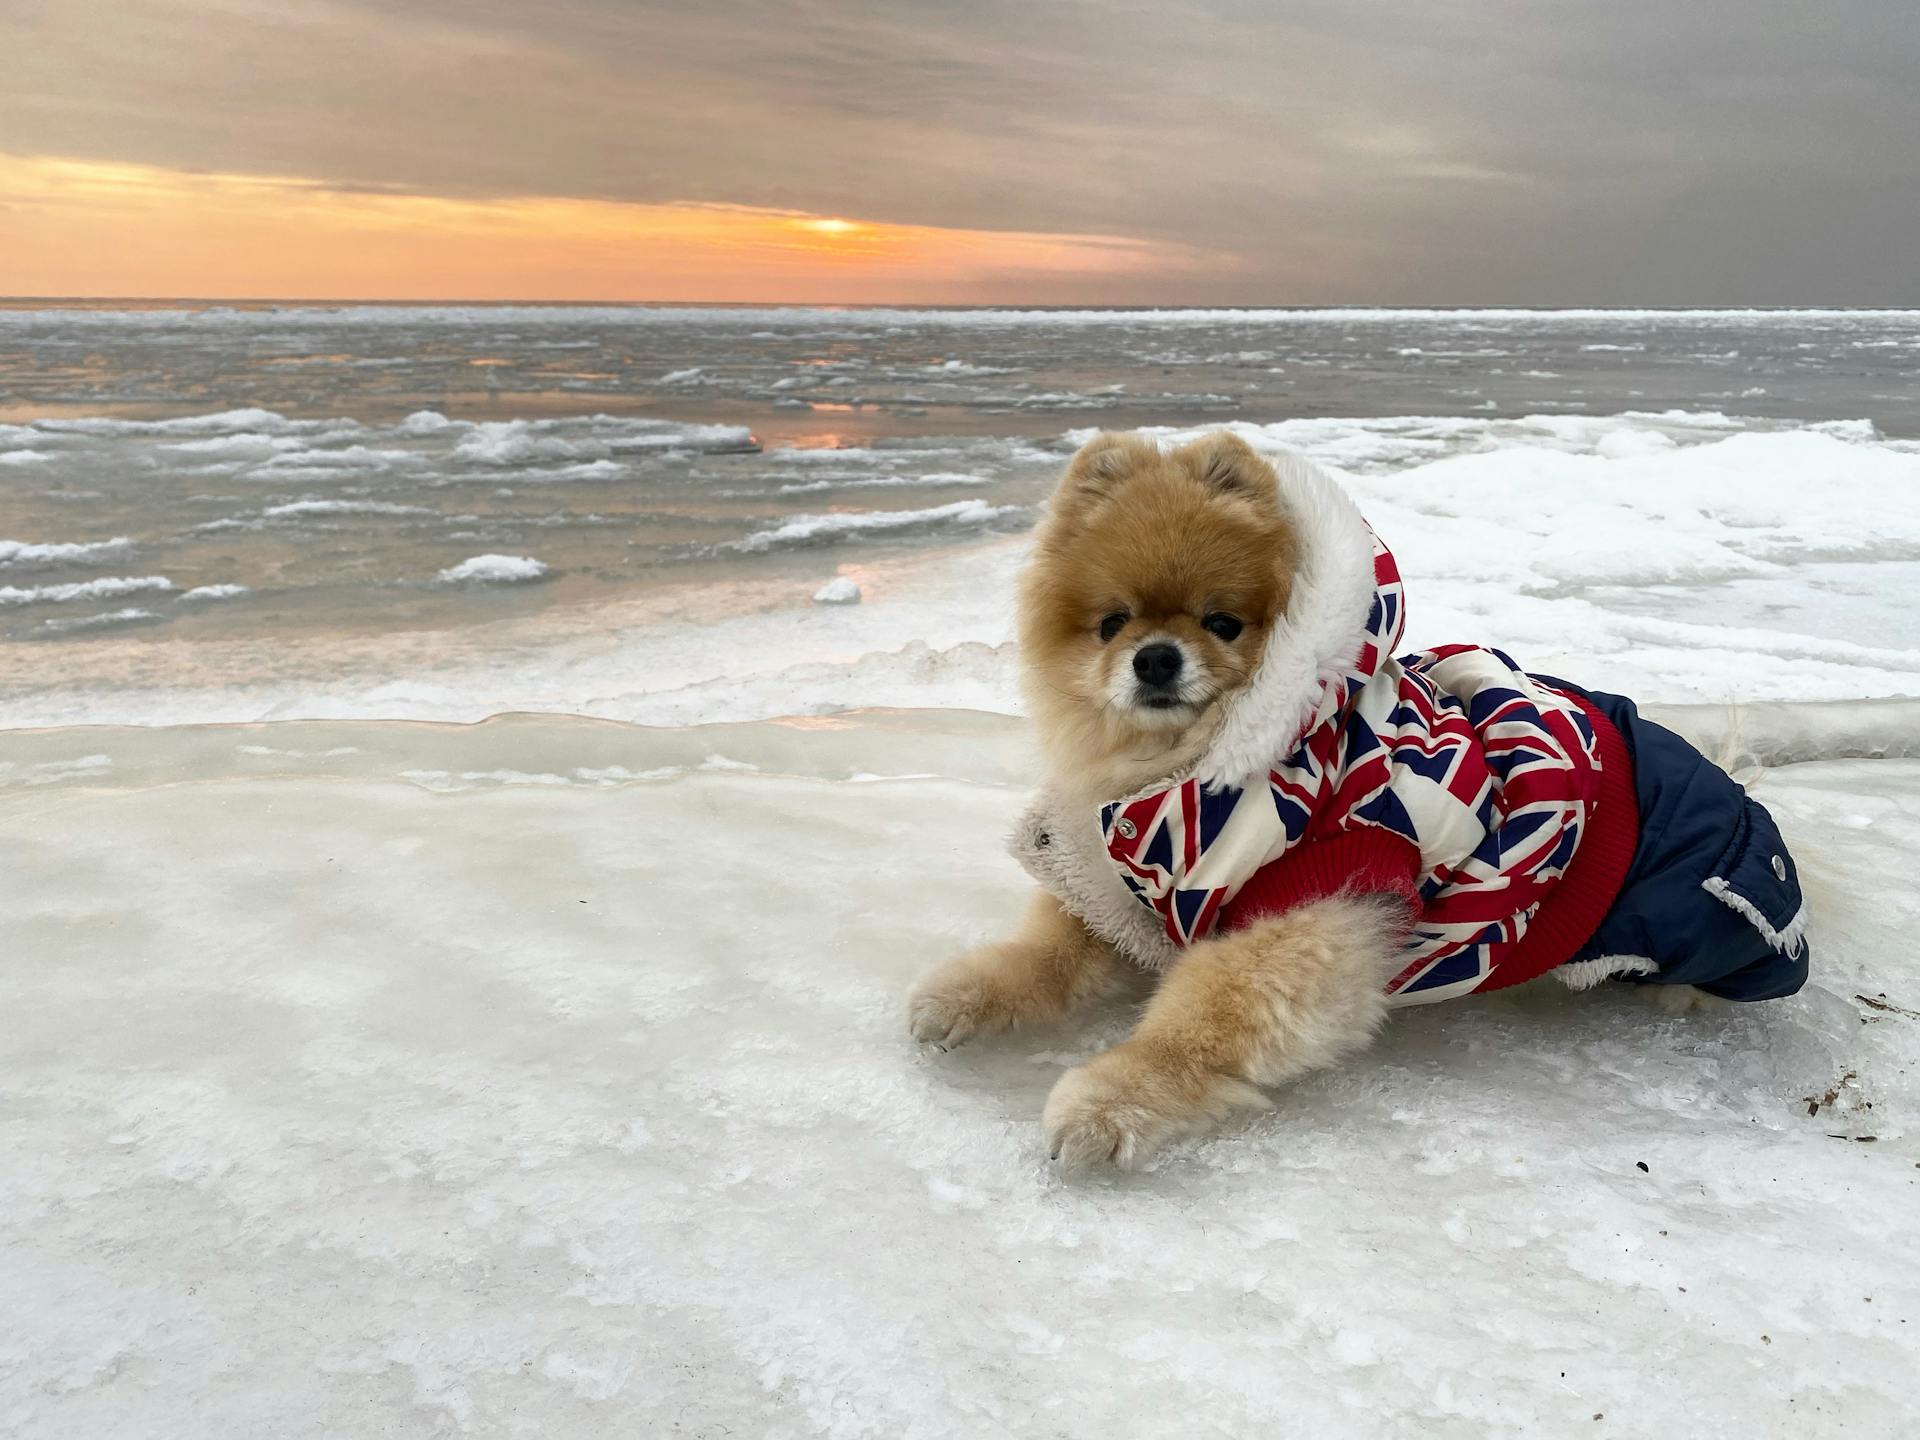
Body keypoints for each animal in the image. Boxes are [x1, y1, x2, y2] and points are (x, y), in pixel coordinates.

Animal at [906, 428, 1804, 1175]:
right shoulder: (1123, 890)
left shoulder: (1323, 902)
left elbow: (1202, 1024)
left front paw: (1107, 1101)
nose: (1155, 658)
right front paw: (967, 996)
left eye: (1223, 622)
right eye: (1111, 623)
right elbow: (1050, 953)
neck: (1189, 779)